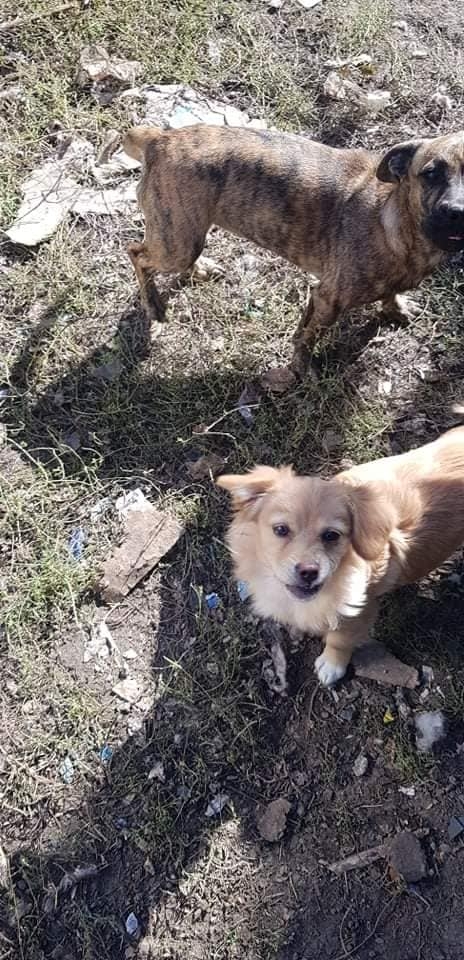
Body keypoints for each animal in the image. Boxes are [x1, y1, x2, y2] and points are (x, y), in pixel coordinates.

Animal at [123, 124, 464, 372]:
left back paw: (200, 269)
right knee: (137, 253)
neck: (393, 218)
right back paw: (153, 304)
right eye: (431, 173)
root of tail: (159, 139)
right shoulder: (327, 298)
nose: (457, 212)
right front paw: (302, 369)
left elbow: (389, 295)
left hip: (185, 235)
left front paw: (396, 308)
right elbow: (306, 337)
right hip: (176, 245)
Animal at [217, 426, 464, 685]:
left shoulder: (358, 610)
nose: (308, 572)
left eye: (331, 535)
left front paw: (332, 665)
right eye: (281, 530)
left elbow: (340, 639)